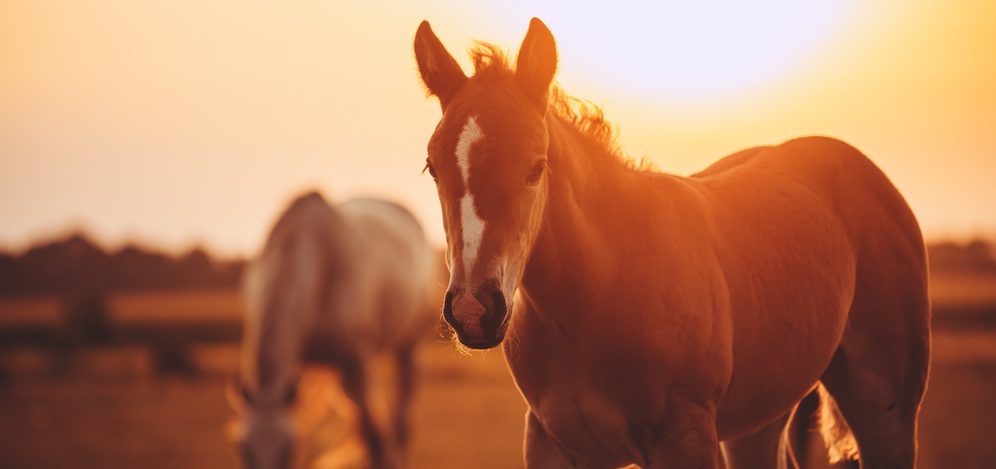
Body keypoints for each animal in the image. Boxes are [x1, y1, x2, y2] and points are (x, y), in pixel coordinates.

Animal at [232, 191, 437, 469]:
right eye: (244, 450)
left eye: (288, 448)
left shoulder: (356, 362)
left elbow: (373, 434)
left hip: (408, 347)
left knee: (400, 423)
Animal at [413, 18, 930, 469]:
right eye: (433, 168)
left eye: (536, 167)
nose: (474, 309)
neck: (596, 294)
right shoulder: (552, 445)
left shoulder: (685, 440)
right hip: (758, 419)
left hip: (887, 410)